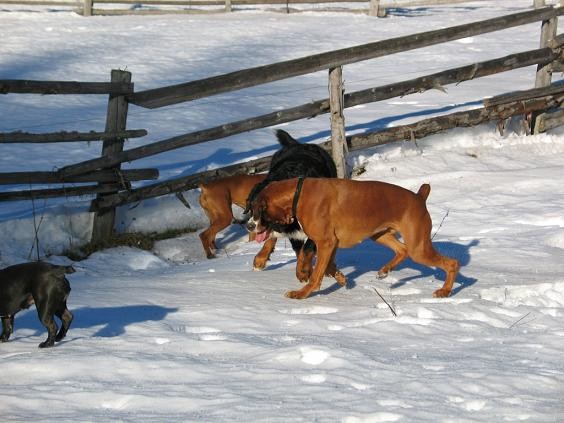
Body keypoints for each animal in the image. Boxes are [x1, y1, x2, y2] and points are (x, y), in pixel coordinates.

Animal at [242, 129, 340, 282]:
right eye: (251, 206)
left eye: (262, 209)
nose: (250, 226)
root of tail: (298, 144)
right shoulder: (291, 230)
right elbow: (298, 249)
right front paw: (304, 271)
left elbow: (307, 249)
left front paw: (303, 271)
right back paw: (260, 259)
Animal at [249, 177, 460, 300]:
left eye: (258, 210)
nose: (249, 225)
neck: (298, 193)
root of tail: (418, 197)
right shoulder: (331, 244)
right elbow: (327, 267)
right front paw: (341, 278)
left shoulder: (325, 242)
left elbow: (316, 274)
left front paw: (302, 294)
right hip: (379, 235)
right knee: (402, 250)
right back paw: (384, 270)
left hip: (419, 249)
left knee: (452, 263)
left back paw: (445, 291)